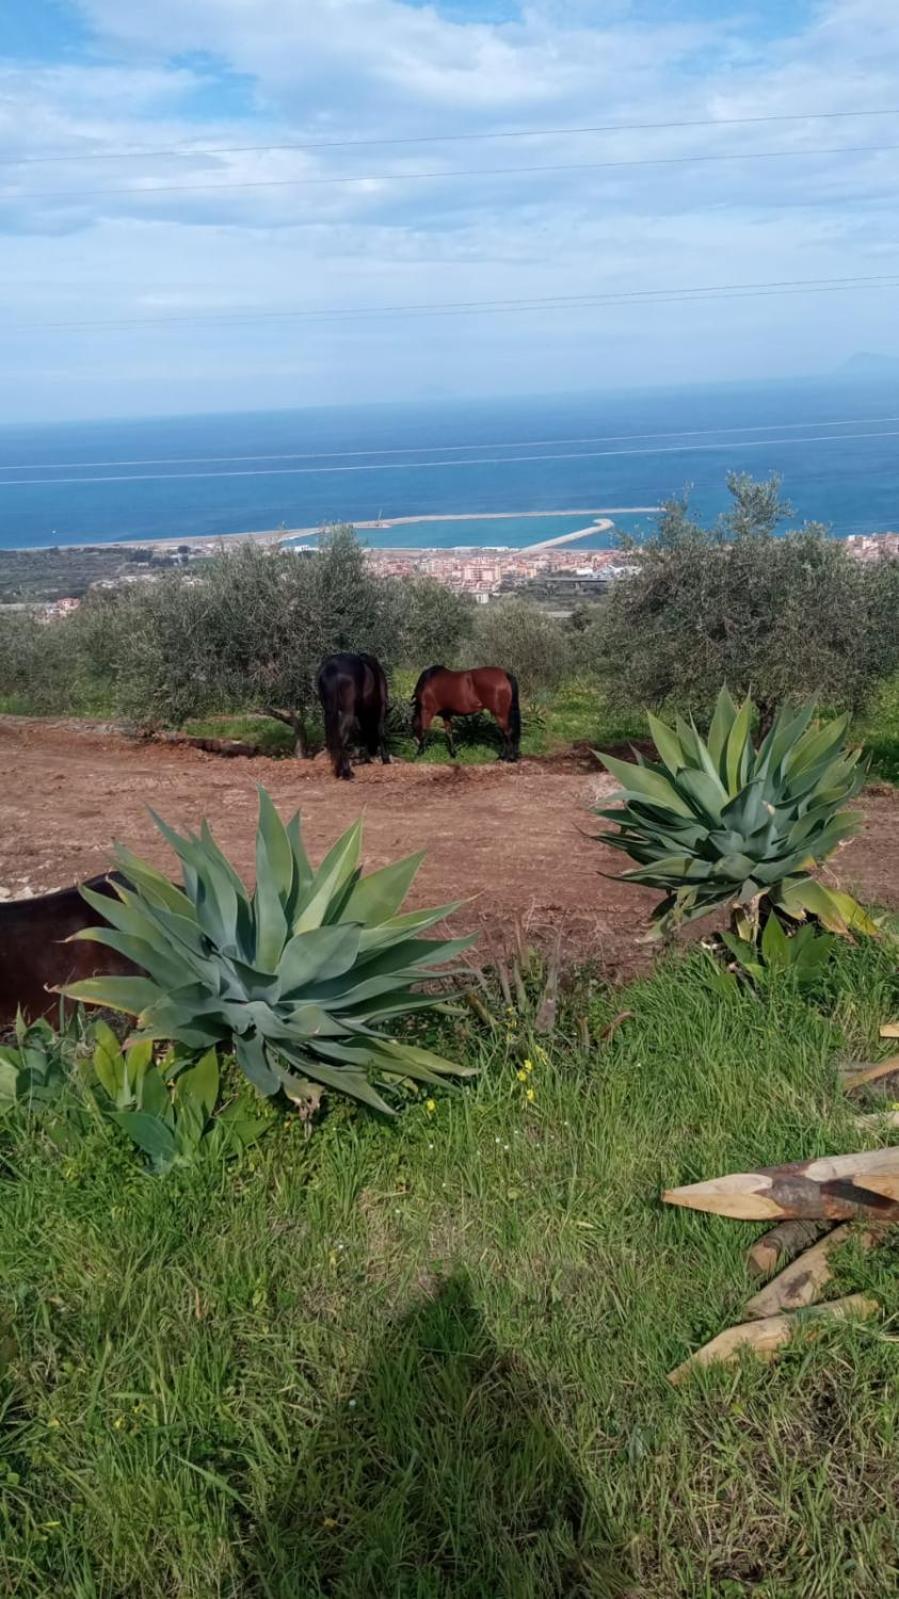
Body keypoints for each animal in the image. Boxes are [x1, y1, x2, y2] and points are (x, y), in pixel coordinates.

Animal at [315, 645, 388, 777]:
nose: (373, 751)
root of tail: (332, 668)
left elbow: (361, 733)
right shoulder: (381, 707)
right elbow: (380, 731)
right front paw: (386, 759)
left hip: (331, 711)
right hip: (347, 713)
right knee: (341, 738)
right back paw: (346, 772)